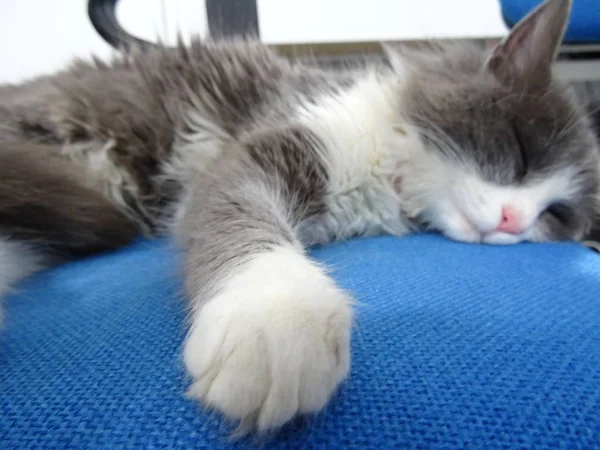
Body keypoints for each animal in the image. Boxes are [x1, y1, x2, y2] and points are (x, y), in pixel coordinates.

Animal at [1, 0, 600, 432]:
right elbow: (241, 213)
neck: (388, 176)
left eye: (556, 215)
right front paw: (273, 314)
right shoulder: (264, 145)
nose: (513, 221)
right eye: (521, 152)